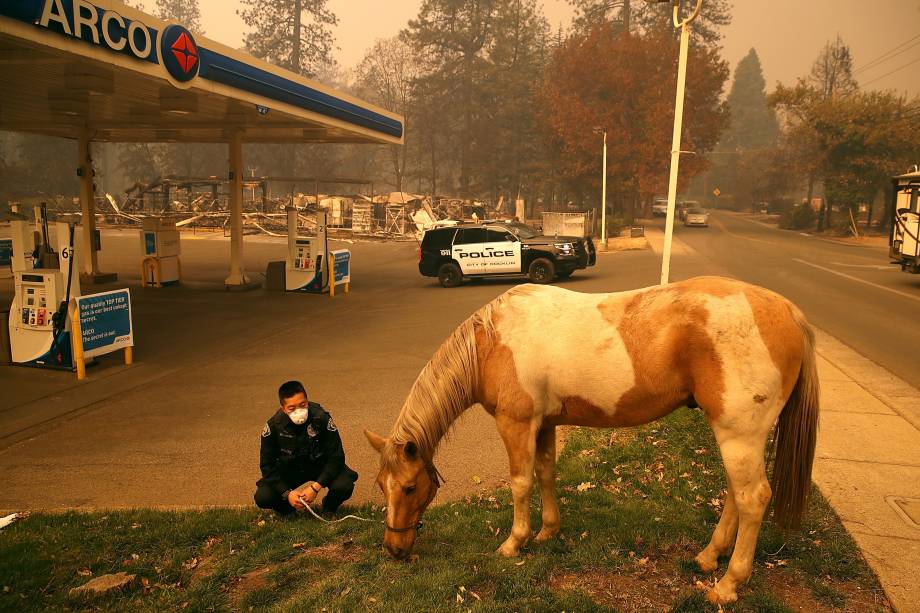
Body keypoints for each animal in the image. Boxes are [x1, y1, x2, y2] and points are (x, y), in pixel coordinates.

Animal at [366, 276, 820, 604]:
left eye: (409, 487)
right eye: (380, 486)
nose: (393, 549)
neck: (494, 341)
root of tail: (788, 311)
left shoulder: (517, 424)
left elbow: (521, 483)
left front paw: (514, 543)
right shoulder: (544, 424)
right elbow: (546, 473)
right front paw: (547, 532)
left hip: (738, 435)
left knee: (753, 498)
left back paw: (727, 585)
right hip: (737, 438)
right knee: (735, 495)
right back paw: (710, 557)